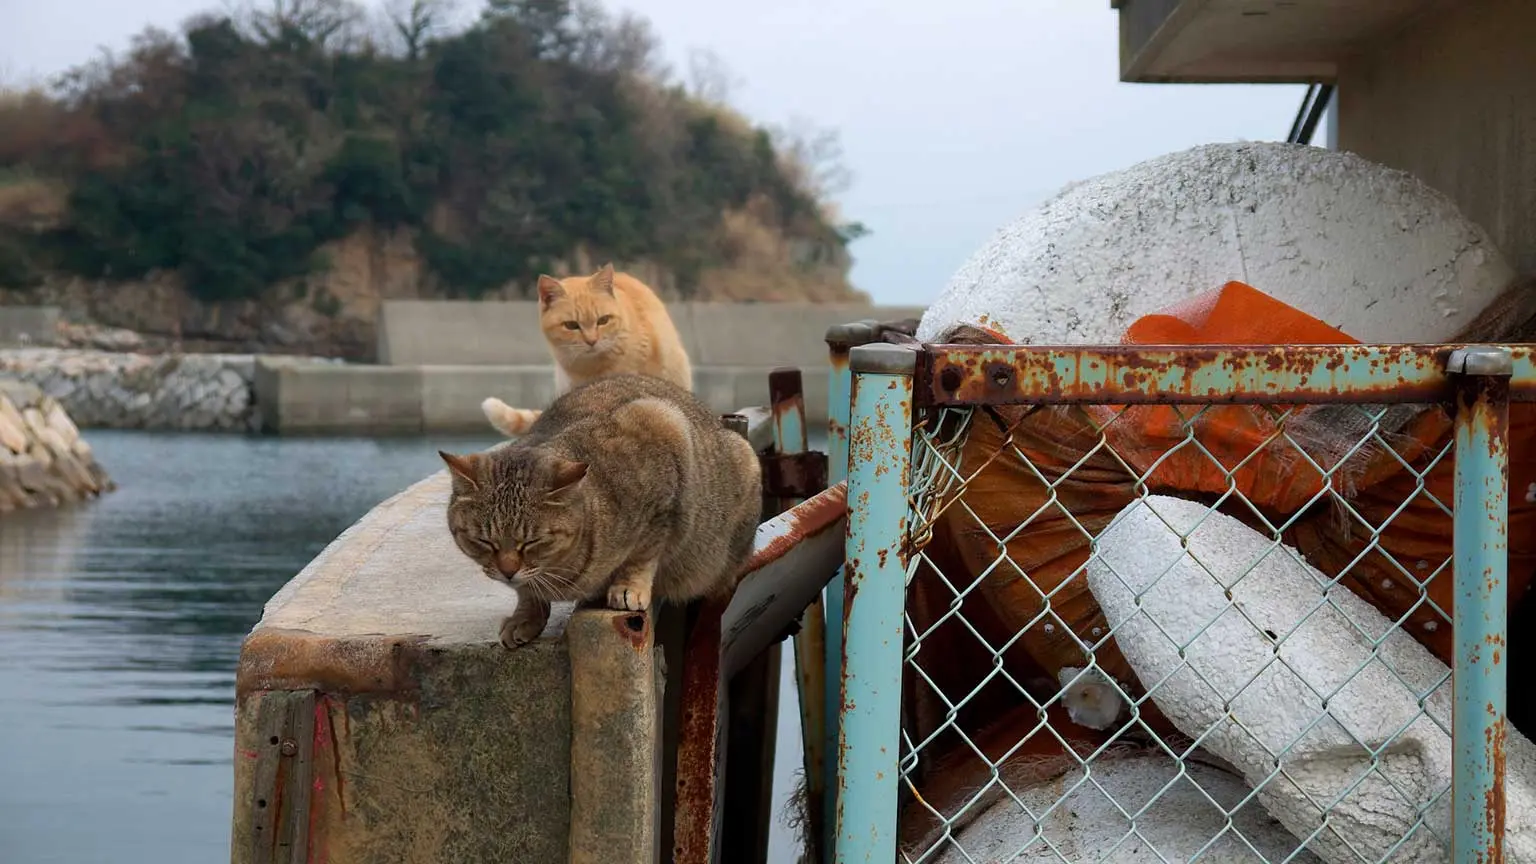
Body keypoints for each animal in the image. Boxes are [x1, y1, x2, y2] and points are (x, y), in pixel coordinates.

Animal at [442, 372, 758, 645]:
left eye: (532, 542)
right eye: (484, 541)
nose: (508, 571)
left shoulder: (662, 442)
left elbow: (644, 552)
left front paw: (628, 586)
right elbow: (526, 591)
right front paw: (525, 616)